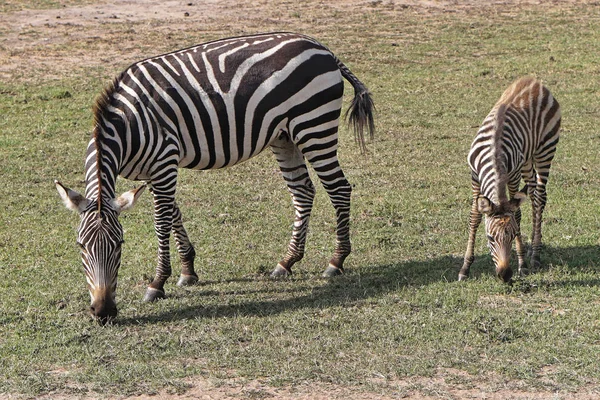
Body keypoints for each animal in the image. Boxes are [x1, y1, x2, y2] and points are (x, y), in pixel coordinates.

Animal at [57, 32, 376, 324]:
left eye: (120, 244)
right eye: (80, 246)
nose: (103, 312)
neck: (128, 126)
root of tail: (324, 49)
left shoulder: (164, 163)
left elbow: (161, 223)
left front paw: (157, 283)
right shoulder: (155, 171)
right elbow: (174, 214)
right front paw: (188, 270)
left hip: (314, 126)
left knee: (339, 188)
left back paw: (336, 261)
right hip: (285, 136)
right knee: (303, 192)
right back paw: (287, 262)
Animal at [460, 77, 564, 282]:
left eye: (514, 234)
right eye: (490, 238)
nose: (505, 275)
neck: (494, 153)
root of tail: (533, 81)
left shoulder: (513, 176)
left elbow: (517, 215)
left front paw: (522, 265)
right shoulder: (474, 176)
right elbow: (475, 216)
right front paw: (465, 267)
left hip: (545, 150)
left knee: (540, 197)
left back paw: (535, 254)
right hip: (527, 161)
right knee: (533, 193)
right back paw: (533, 249)